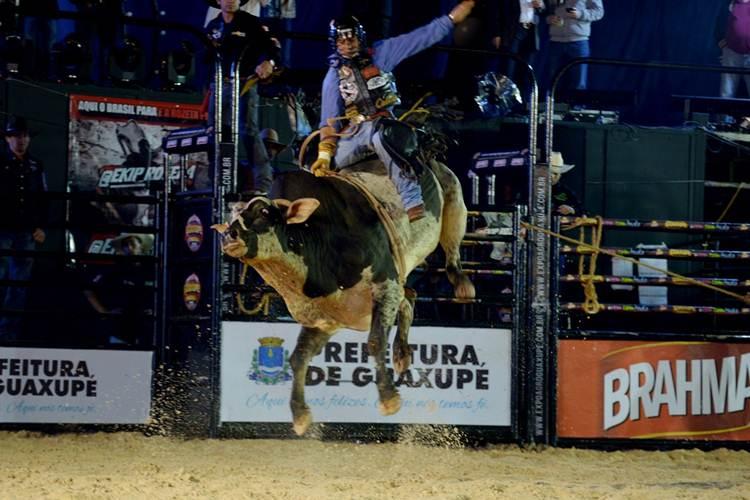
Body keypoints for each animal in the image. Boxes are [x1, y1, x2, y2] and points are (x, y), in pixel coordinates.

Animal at [214, 160, 472, 434]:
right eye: (231, 216)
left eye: (263, 212)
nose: (229, 235)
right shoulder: (325, 319)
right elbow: (298, 358)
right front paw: (300, 416)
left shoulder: (386, 285)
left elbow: (375, 341)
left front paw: (389, 399)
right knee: (409, 299)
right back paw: (402, 355)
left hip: (454, 199)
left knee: (450, 252)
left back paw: (462, 284)